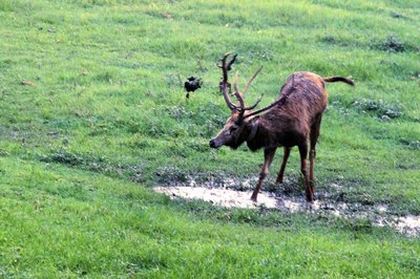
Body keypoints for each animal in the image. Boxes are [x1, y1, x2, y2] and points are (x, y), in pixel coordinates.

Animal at [210, 53, 354, 202]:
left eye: (234, 127)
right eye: (225, 122)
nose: (212, 142)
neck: (279, 131)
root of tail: (320, 77)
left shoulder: (302, 140)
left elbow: (303, 168)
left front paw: (309, 197)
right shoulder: (271, 145)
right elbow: (263, 171)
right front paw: (253, 197)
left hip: (318, 118)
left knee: (313, 152)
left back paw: (312, 187)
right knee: (287, 150)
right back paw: (279, 179)